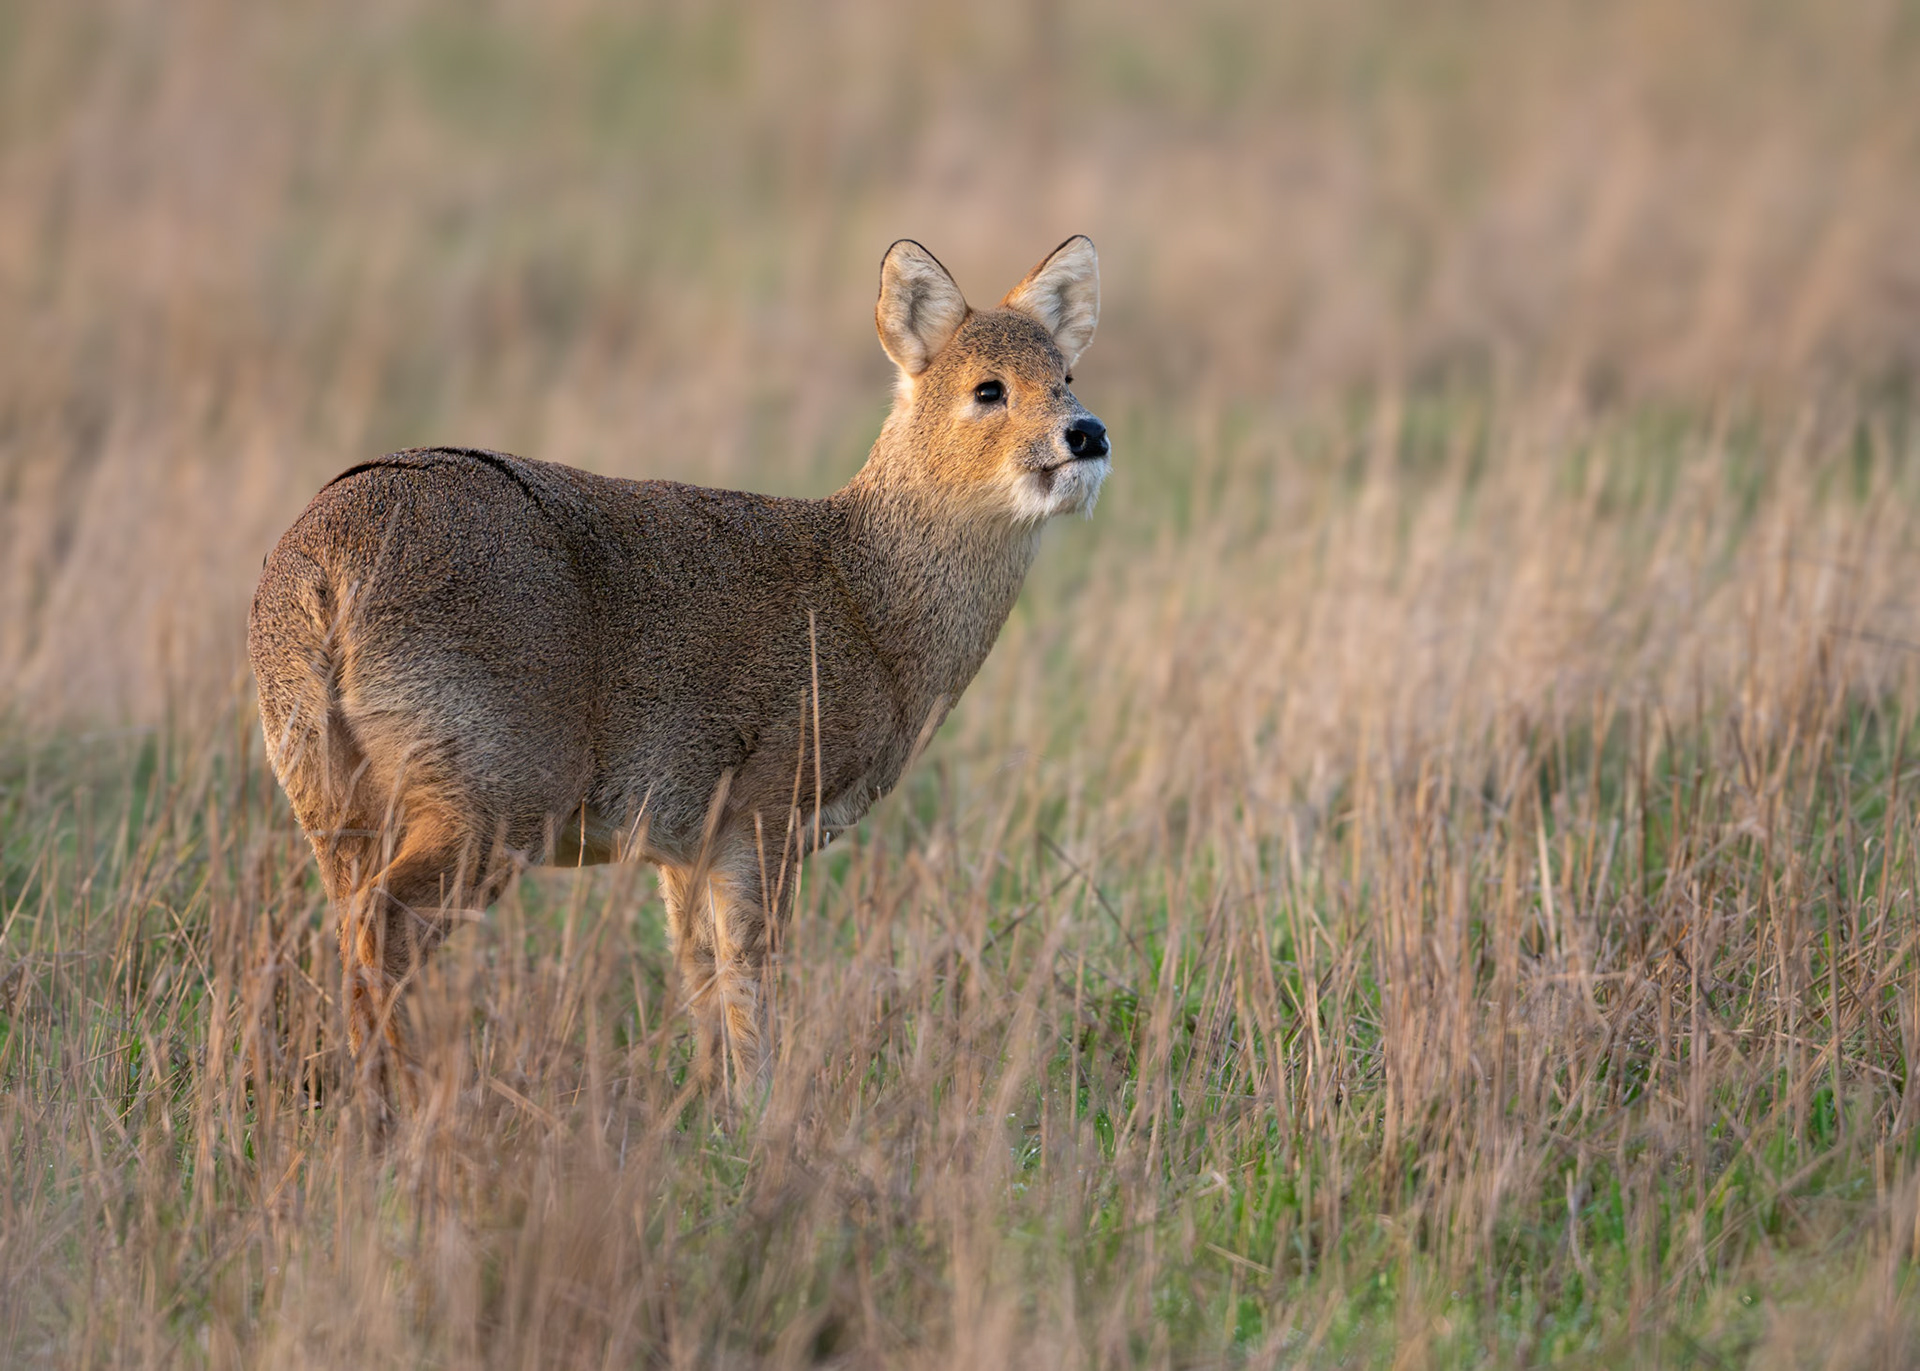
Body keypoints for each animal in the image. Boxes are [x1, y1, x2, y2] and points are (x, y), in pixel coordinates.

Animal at [248, 236, 1108, 1105]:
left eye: (1067, 373)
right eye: (987, 387)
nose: (1089, 434)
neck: (868, 604)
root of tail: (320, 568)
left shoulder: (681, 842)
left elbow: (699, 975)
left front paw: (710, 1105)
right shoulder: (766, 808)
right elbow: (751, 976)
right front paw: (764, 1107)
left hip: (331, 797)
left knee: (352, 929)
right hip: (495, 789)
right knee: (385, 926)